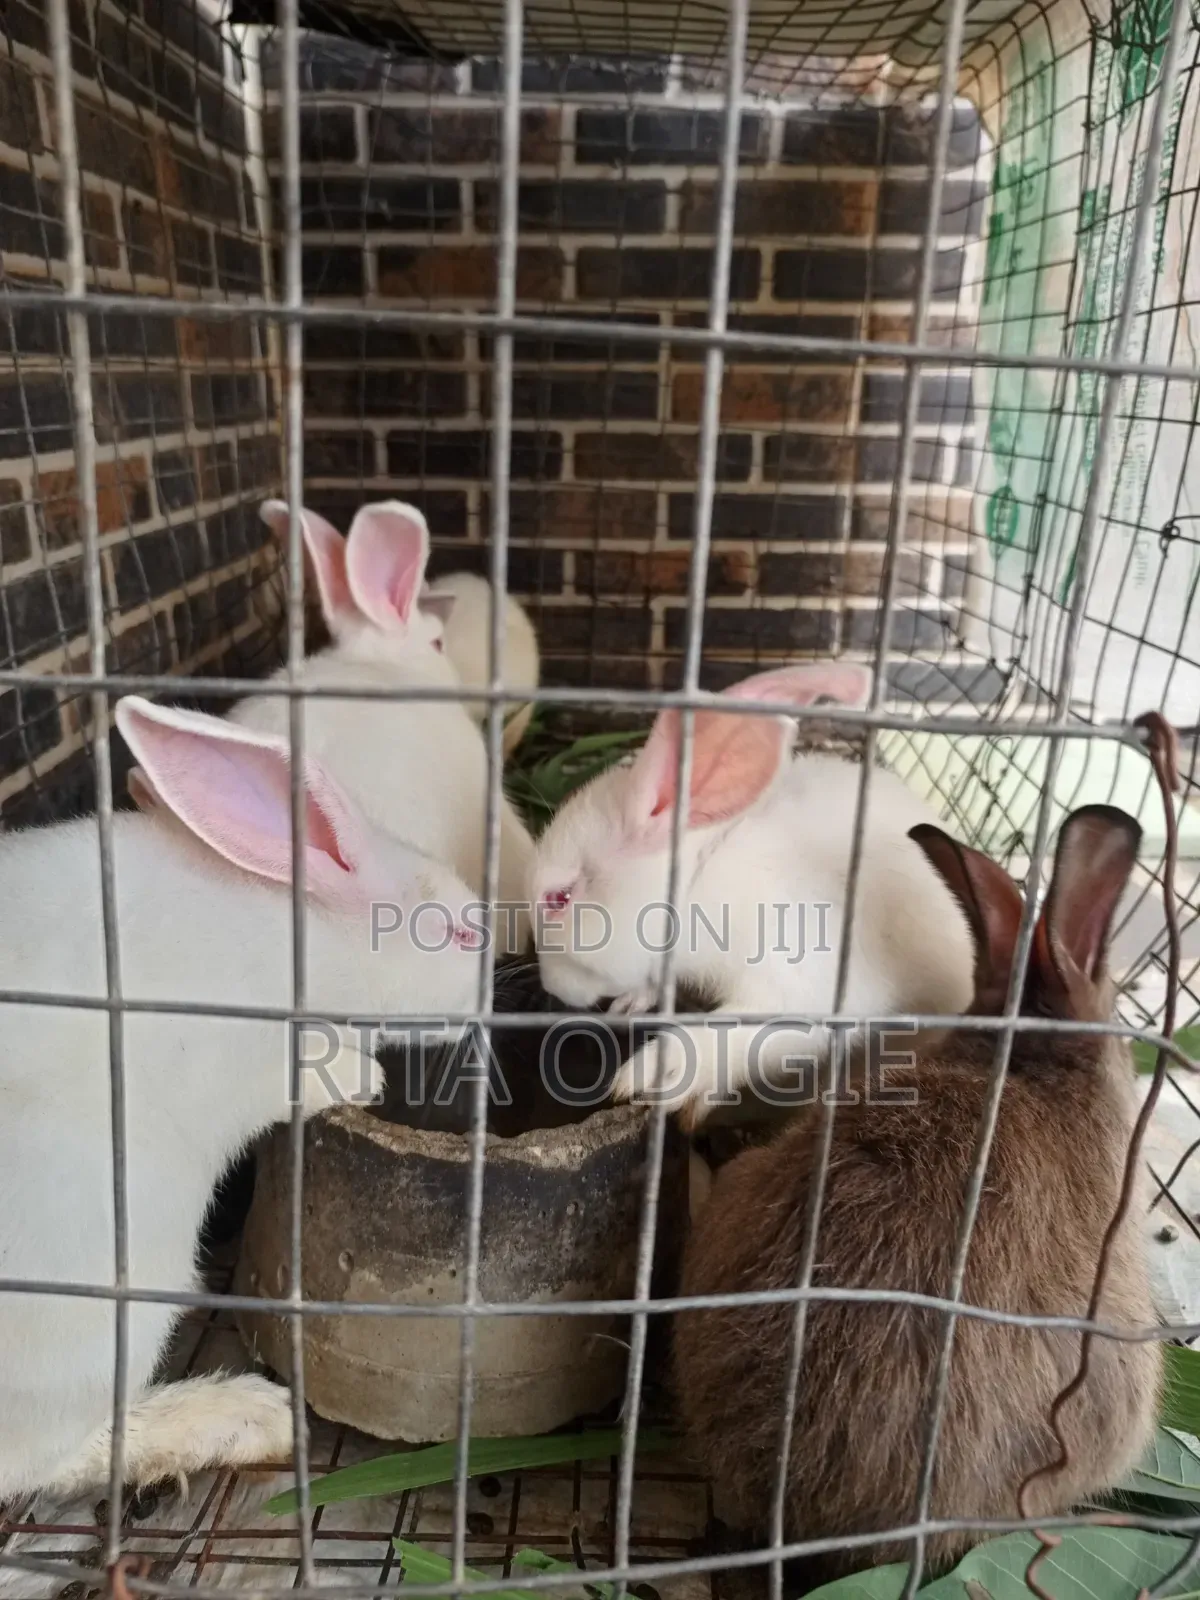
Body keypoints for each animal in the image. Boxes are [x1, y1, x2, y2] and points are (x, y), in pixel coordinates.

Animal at [528, 663, 976, 1129]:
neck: (698, 881)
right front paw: (630, 1006)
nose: (550, 984)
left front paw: (652, 1075)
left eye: (560, 898)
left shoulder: (799, 985)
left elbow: (737, 1032)